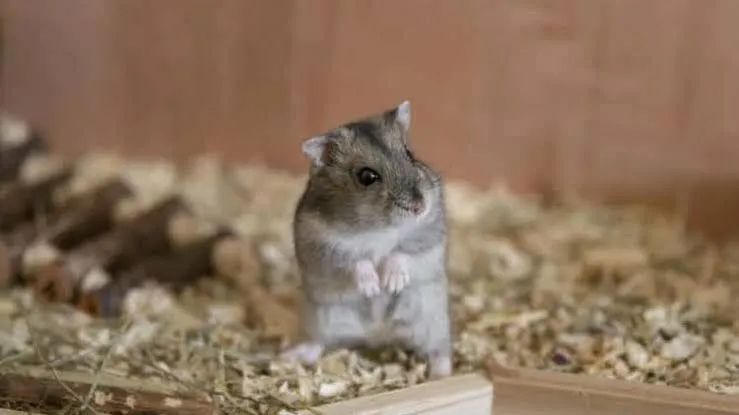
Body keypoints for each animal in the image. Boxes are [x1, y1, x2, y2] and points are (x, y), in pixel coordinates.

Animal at [282, 100, 452, 378]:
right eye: (367, 177)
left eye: (409, 154)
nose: (419, 207)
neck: (379, 228)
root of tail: (377, 335)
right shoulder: (323, 244)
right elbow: (356, 261)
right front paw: (373, 287)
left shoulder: (429, 232)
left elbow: (401, 252)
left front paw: (391, 284)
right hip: (321, 318)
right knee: (318, 343)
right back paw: (289, 357)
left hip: (432, 319)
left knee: (439, 351)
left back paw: (442, 374)